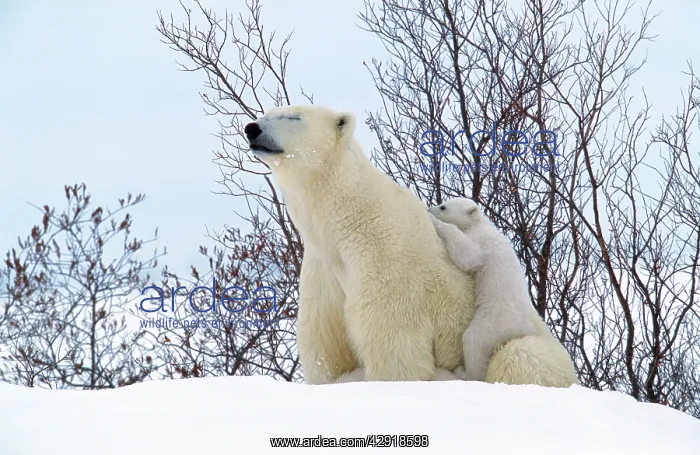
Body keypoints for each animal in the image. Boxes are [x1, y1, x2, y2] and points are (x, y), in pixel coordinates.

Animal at [428, 197, 579, 386]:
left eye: (443, 207)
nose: (430, 208)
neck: (480, 224)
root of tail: (521, 329)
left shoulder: (483, 243)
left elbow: (468, 255)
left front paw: (437, 224)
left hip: (492, 322)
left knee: (473, 341)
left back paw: (463, 371)